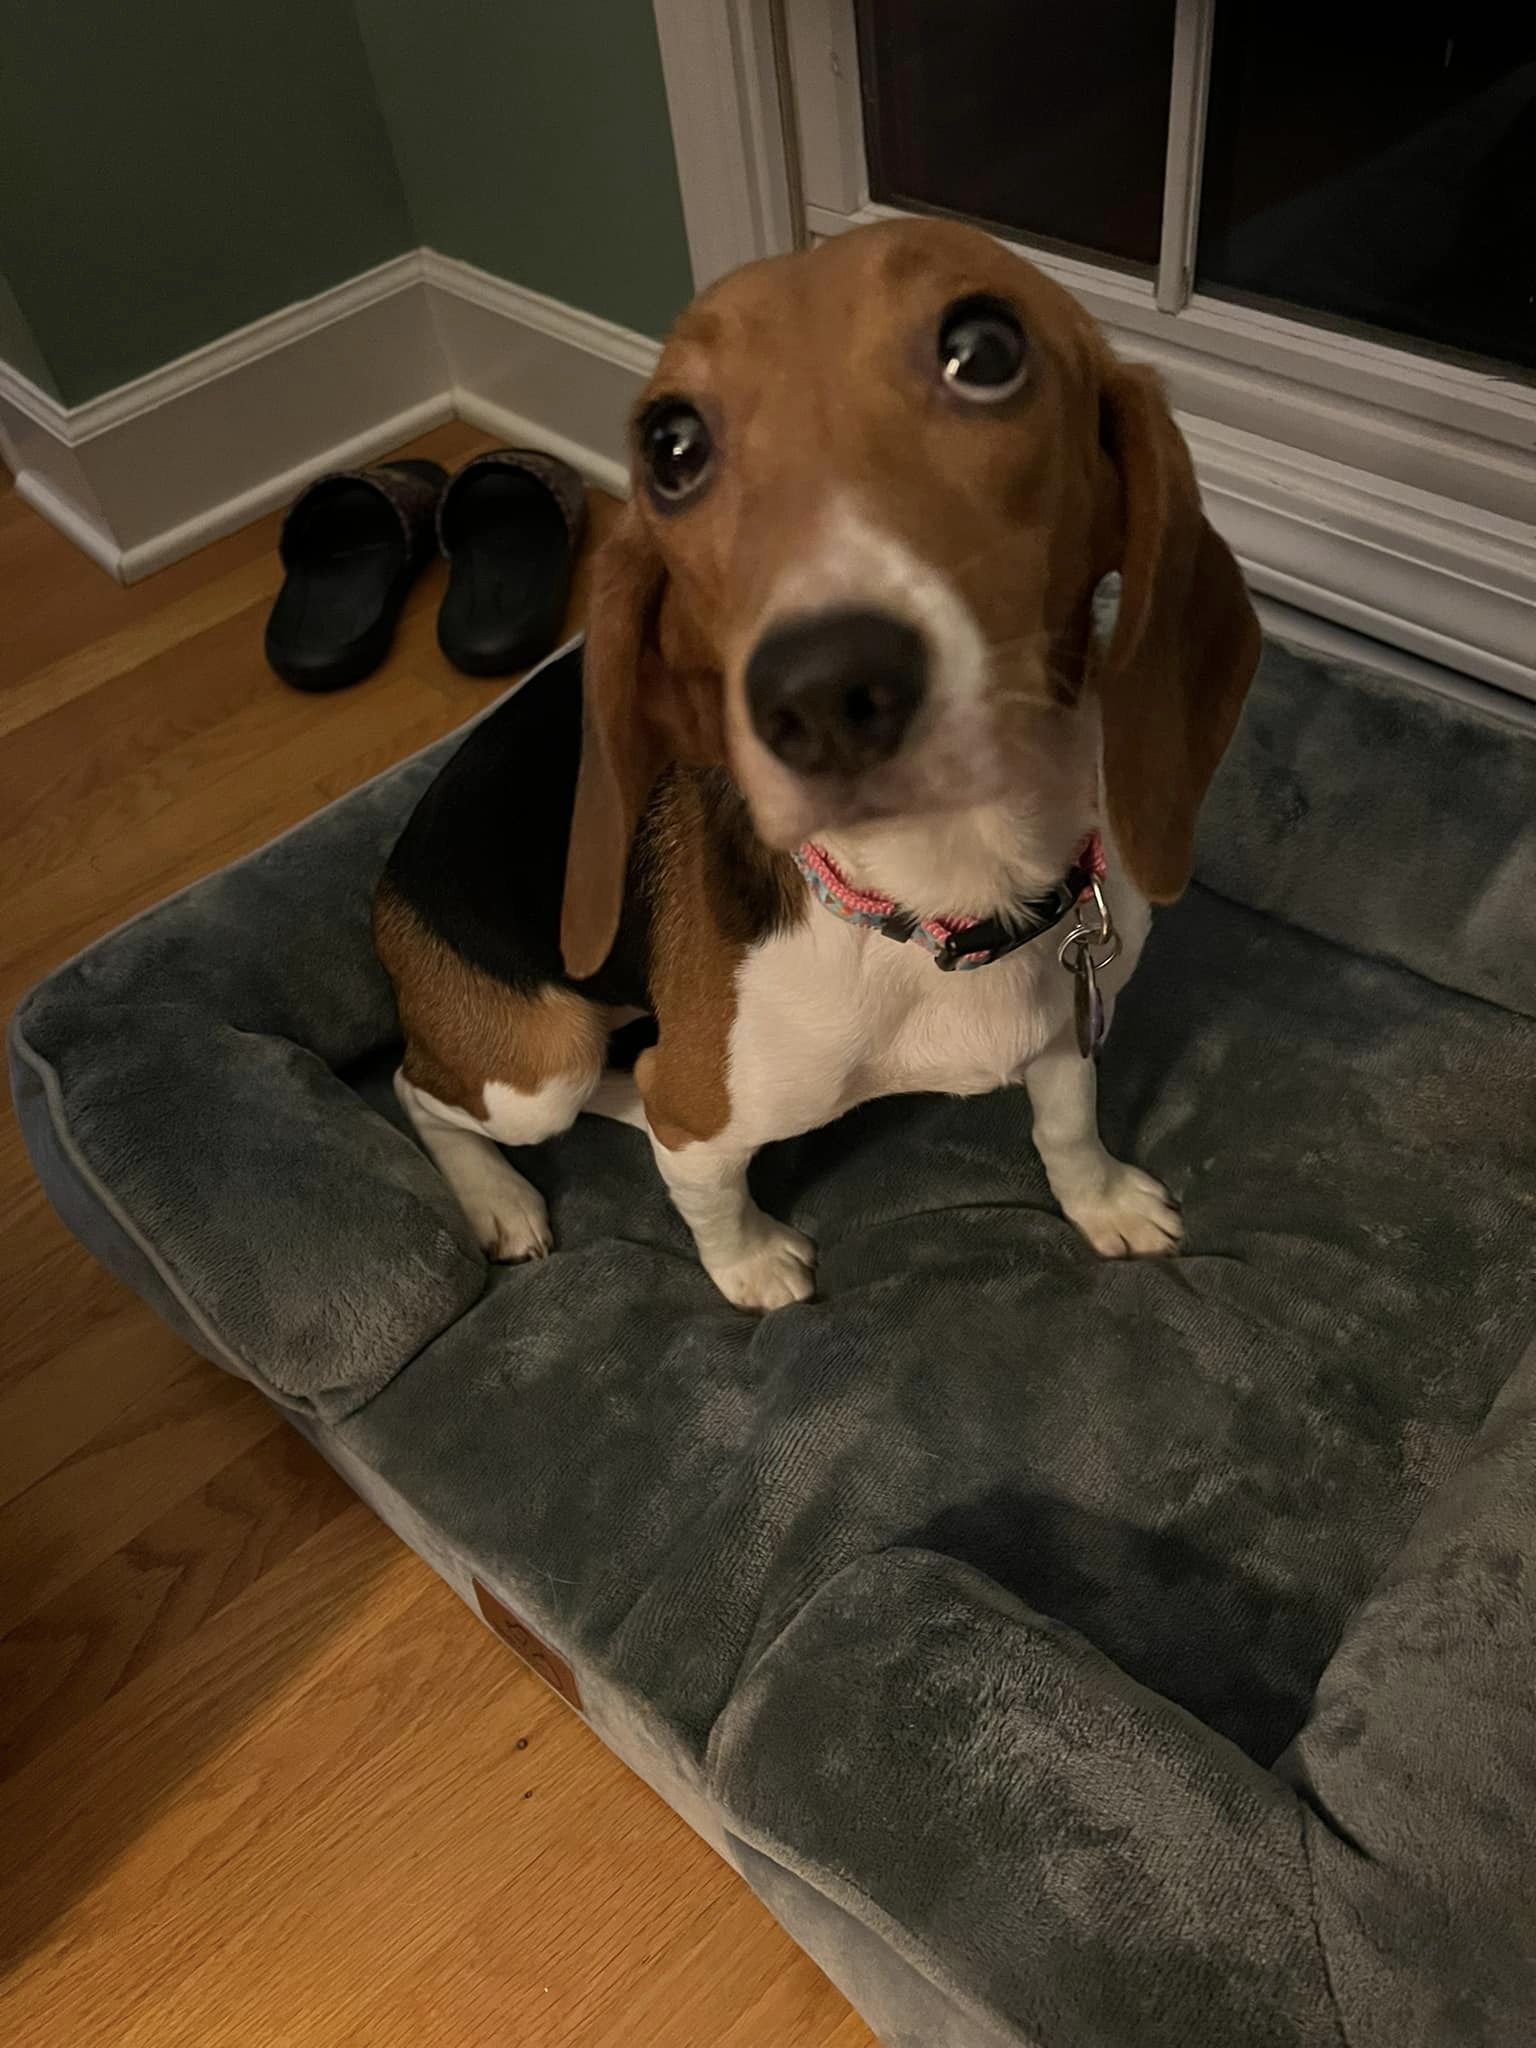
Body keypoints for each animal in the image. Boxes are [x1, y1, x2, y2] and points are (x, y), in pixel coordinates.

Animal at [376, 216, 1261, 1310]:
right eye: (670, 447)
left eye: (986, 350)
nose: (823, 692)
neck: (946, 898)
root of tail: (393, 866)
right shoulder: (694, 1121)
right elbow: (707, 1192)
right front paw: (752, 1262)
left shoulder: (1065, 1027)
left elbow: (1067, 1124)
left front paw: (1100, 1200)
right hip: (541, 1065)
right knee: (424, 1087)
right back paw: (497, 1196)